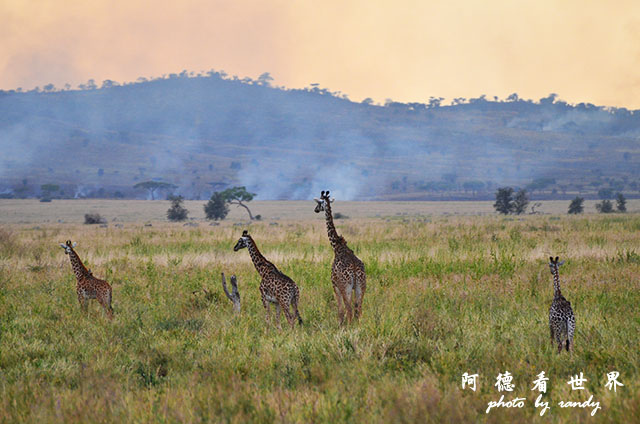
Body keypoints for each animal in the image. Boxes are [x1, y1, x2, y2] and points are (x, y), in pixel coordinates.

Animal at [314, 190, 364, 322]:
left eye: (319, 203)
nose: (315, 209)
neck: (337, 247)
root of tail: (355, 270)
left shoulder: (335, 284)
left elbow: (340, 311)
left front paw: (340, 324)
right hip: (361, 286)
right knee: (358, 310)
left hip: (345, 287)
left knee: (349, 310)